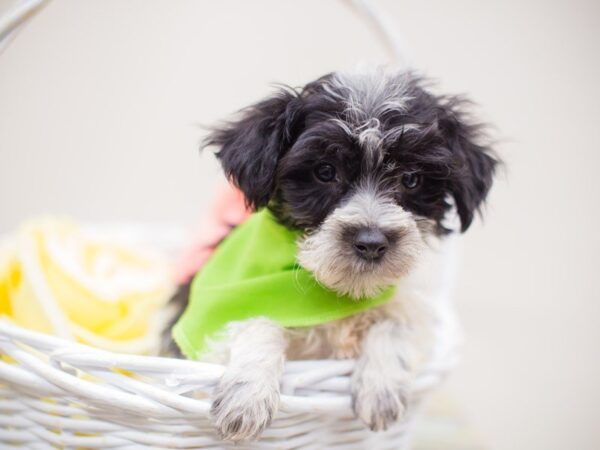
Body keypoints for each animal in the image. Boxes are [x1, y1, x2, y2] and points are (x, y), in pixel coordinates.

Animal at [165, 67, 496, 442]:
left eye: (411, 179)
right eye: (325, 172)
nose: (371, 242)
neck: (338, 294)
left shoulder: (410, 307)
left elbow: (398, 317)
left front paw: (381, 389)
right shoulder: (208, 317)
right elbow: (257, 320)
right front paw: (247, 396)